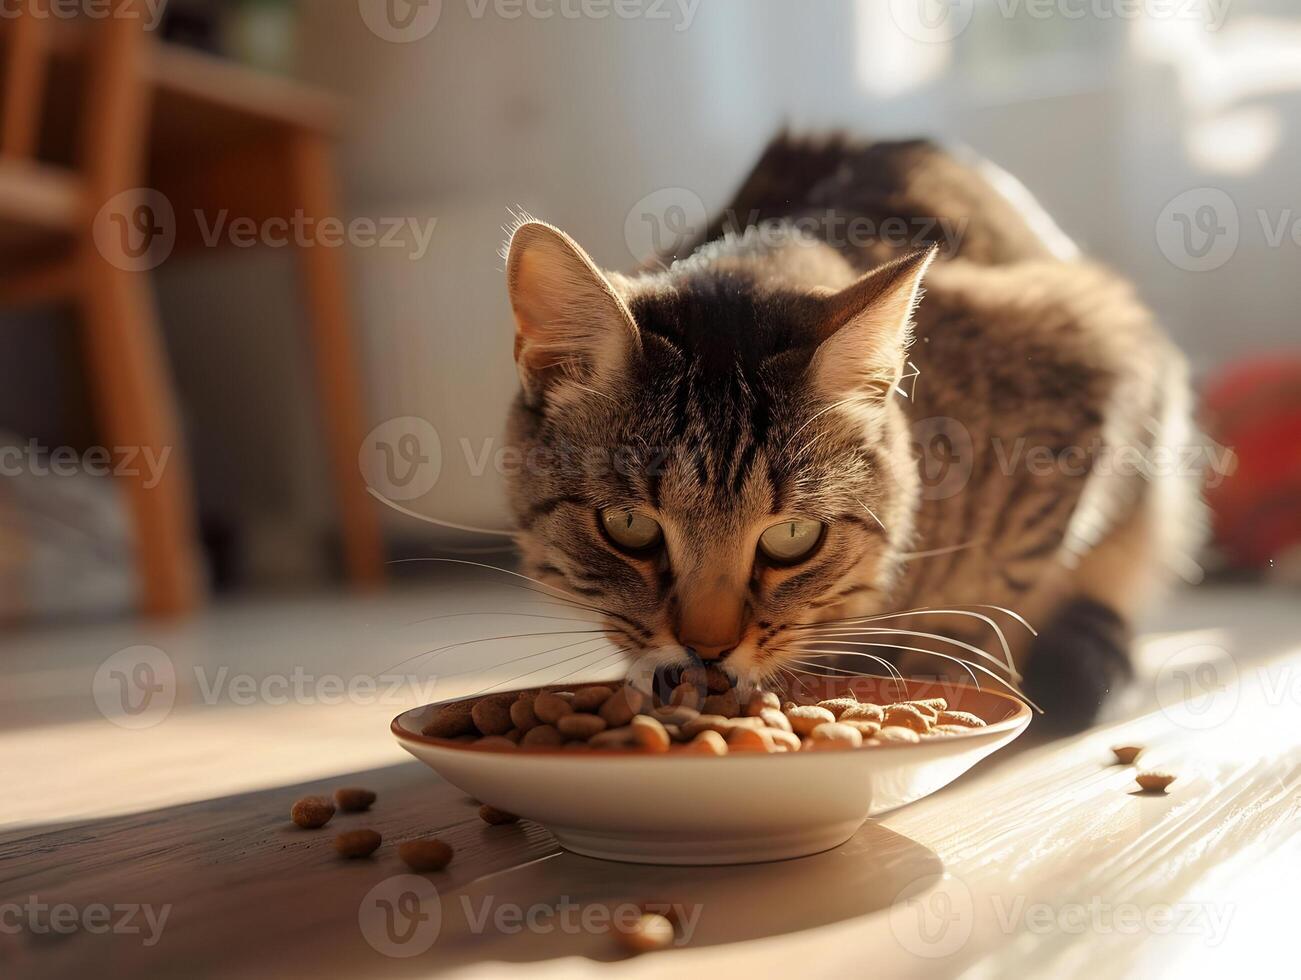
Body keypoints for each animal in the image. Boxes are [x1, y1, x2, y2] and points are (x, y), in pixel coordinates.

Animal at [494, 134, 1196, 728]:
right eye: (628, 527)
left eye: (793, 538)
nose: (707, 649)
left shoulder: (1091, 365)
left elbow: (998, 593)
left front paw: (938, 675)